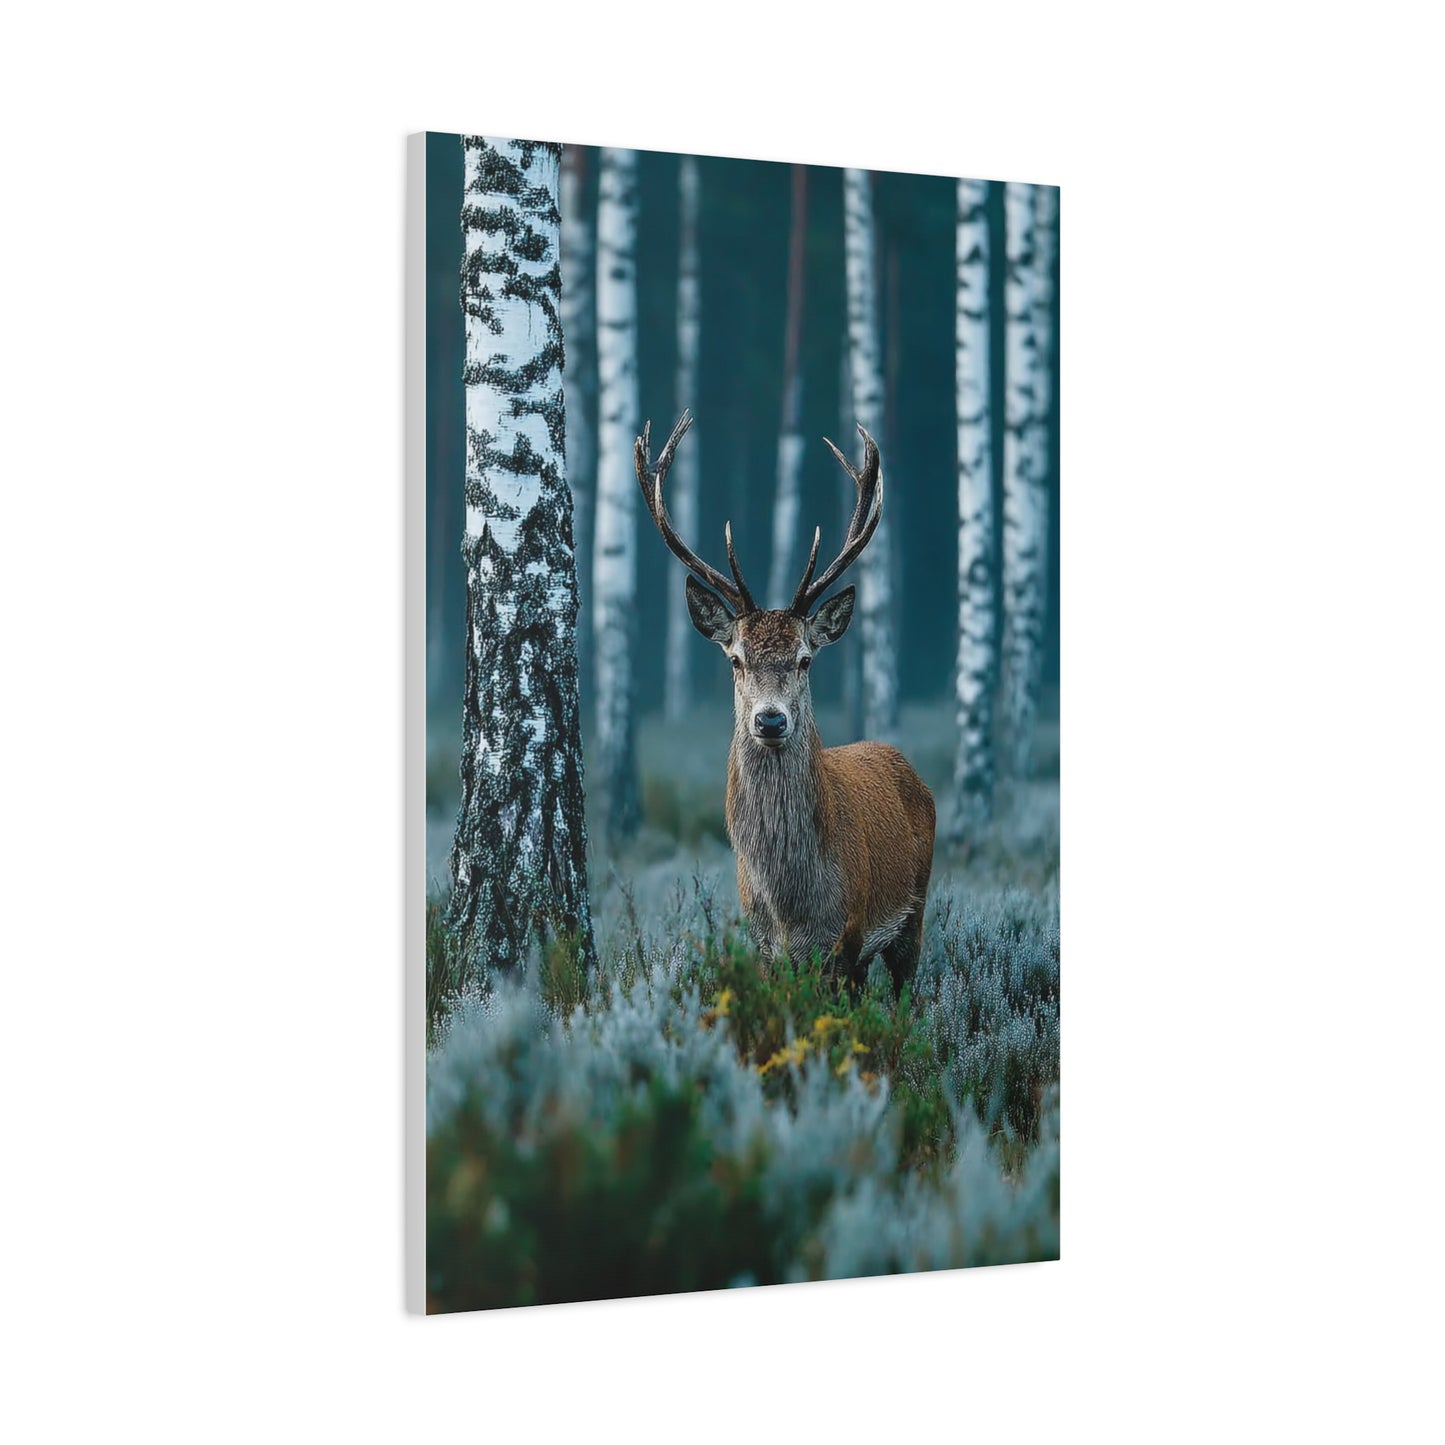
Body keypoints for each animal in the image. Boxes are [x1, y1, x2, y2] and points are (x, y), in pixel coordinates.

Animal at [636, 411, 935, 992]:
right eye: (735, 659)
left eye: (805, 659)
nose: (770, 720)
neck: (791, 908)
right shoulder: (764, 947)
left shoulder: (847, 937)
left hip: (914, 911)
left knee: (906, 992)